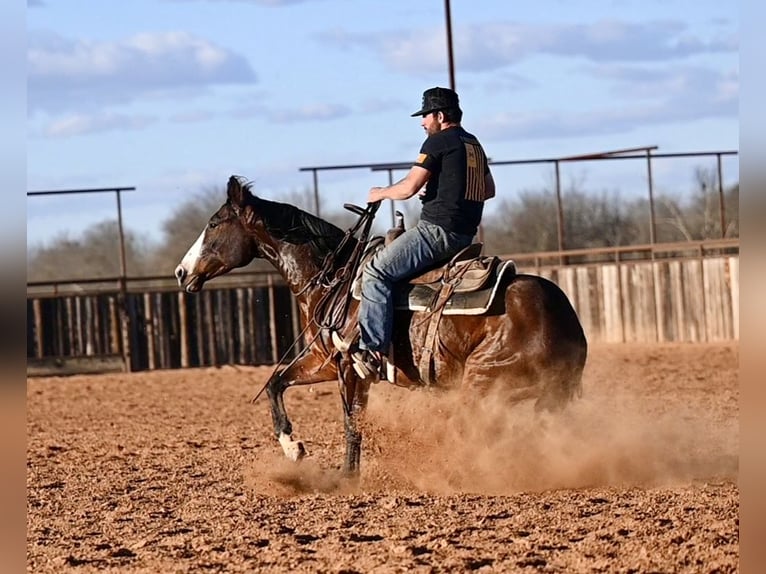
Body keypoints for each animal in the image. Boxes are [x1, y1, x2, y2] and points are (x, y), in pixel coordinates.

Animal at [174, 175, 587, 476]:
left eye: (214, 223)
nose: (181, 272)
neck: (334, 280)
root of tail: (567, 322)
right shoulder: (324, 362)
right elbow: (276, 383)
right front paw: (294, 449)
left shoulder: (349, 367)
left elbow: (352, 422)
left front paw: (346, 476)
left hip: (485, 381)